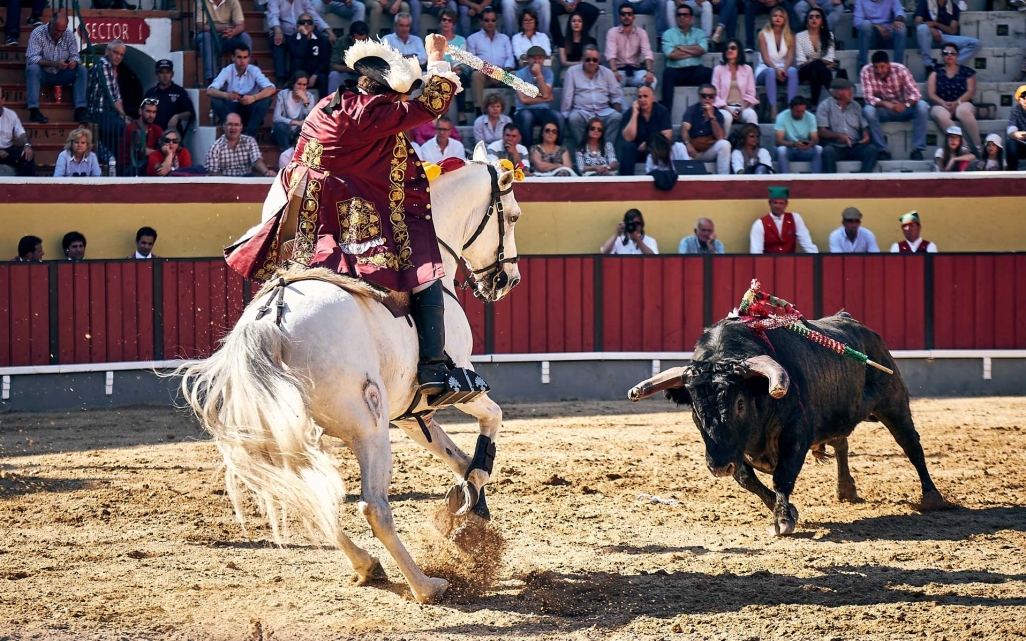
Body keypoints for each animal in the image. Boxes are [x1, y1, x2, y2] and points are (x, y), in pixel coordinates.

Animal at [178, 143, 521, 598]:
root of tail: (271, 319)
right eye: (513, 215)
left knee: (306, 496)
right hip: (366, 426)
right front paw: (472, 506)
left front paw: (461, 503)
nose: (507, 280)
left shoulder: (412, 412)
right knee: (372, 506)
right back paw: (425, 585)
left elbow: (458, 456)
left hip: (283, 433)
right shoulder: (461, 385)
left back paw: (368, 565)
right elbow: (490, 427)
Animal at [627, 311, 948, 533]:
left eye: (740, 403)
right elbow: (746, 479)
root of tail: (862, 328)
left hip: (894, 404)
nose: (718, 467)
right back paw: (846, 490)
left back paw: (932, 497)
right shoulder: (734, 450)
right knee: (842, 444)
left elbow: (783, 475)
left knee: (911, 446)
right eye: (695, 408)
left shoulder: (796, 433)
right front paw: (788, 509)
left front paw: (783, 519)